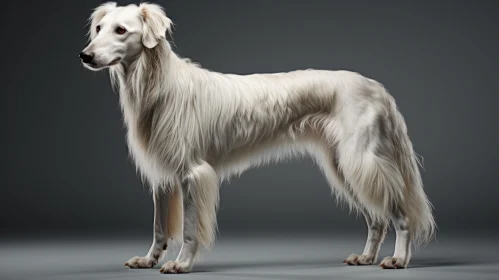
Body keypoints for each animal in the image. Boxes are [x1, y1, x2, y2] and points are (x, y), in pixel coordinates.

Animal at [80, 2, 436, 274]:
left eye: (121, 30)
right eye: (99, 29)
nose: (85, 55)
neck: (158, 87)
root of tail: (378, 88)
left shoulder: (193, 173)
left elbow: (190, 229)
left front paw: (181, 264)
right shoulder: (164, 178)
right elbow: (159, 229)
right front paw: (149, 260)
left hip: (360, 162)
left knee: (400, 215)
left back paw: (398, 259)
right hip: (345, 167)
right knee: (376, 219)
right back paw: (366, 257)